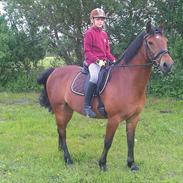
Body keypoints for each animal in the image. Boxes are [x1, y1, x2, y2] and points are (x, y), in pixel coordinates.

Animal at [36, 21, 173, 172]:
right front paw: (102, 164)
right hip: (60, 109)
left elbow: (131, 141)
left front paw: (131, 164)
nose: (168, 65)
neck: (127, 81)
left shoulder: (133, 118)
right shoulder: (114, 118)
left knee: (61, 130)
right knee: (62, 131)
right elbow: (108, 141)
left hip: (67, 110)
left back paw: (61, 151)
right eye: (150, 42)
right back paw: (68, 159)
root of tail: (55, 71)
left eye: (166, 41)